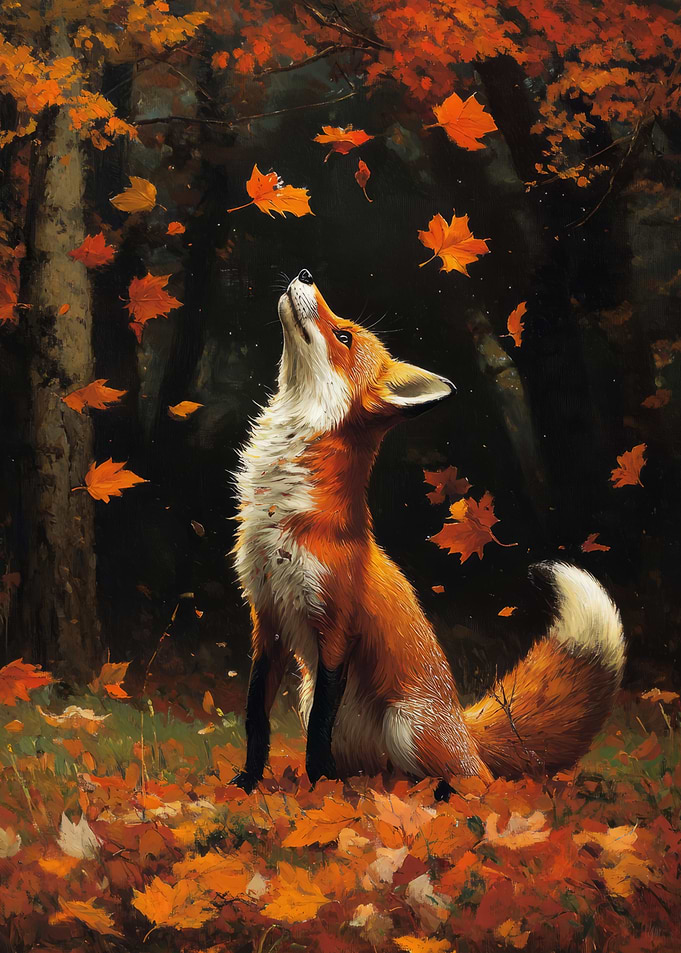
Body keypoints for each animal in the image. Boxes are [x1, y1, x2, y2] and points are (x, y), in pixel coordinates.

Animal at [232, 268, 625, 794]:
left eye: (344, 336)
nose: (306, 274)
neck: (285, 516)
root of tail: (463, 726)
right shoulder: (267, 618)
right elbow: (256, 717)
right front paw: (247, 784)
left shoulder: (333, 623)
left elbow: (317, 729)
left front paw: (318, 791)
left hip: (408, 727)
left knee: (479, 782)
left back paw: (428, 795)